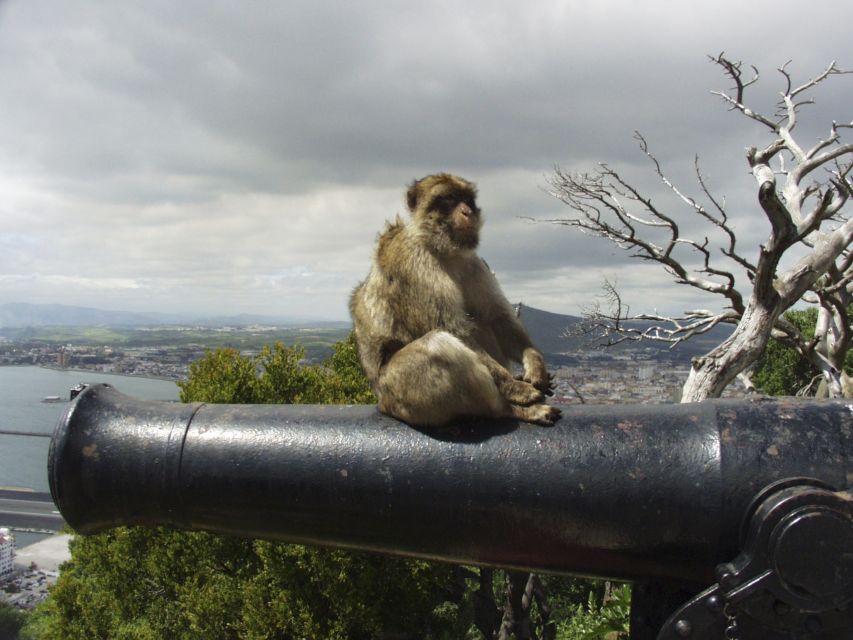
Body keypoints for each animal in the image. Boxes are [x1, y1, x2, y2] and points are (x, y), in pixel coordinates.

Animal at [346, 172, 560, 428]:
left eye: (467, 199)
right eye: (449, 199)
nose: (467, 211)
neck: (443, 250)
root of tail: (382, 404)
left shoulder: (474, 263)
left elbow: (498, 317)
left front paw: (536, 367)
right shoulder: (414, 263)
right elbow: (452, 328)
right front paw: (516, 388)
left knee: (481, 320)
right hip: (402, 394)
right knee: (437, 345)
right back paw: (510, 409)